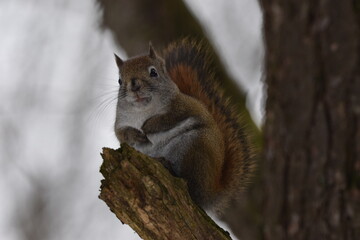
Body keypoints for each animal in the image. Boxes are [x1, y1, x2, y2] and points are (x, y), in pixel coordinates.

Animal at [113, 39, 253, 212]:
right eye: (119, 81)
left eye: (153, 72)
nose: (134, 85)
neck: (143, 111)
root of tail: (211, 193)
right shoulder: (120, 121)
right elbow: (121, 134)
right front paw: (135, 134)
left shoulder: (183, 107)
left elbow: (168, 119)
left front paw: (148, 126)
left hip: (196, 147)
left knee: (192, 187)